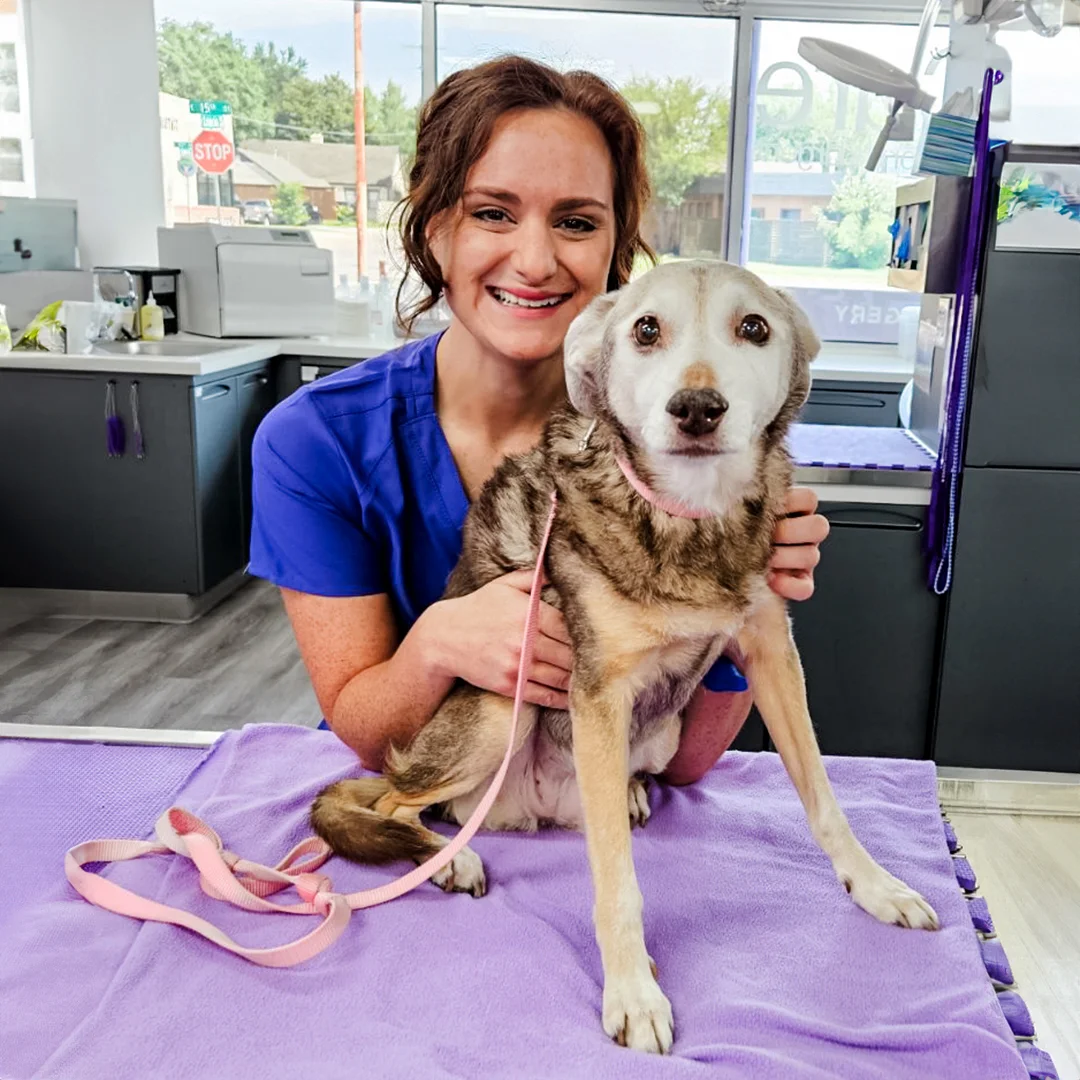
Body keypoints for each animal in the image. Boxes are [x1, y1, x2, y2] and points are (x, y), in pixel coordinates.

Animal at [311, 259, 937, 1054]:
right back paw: (451, 862)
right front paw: (634, 993)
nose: (696, 408)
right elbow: (618, 884)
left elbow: (825, 801)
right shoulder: (599, 694)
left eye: (754, 327)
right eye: (645, 329)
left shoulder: (771, 650)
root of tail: (535, 812)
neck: (689, 517)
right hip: (499, 713)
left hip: (650, 734)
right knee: (392, 801)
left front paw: (878, 887)